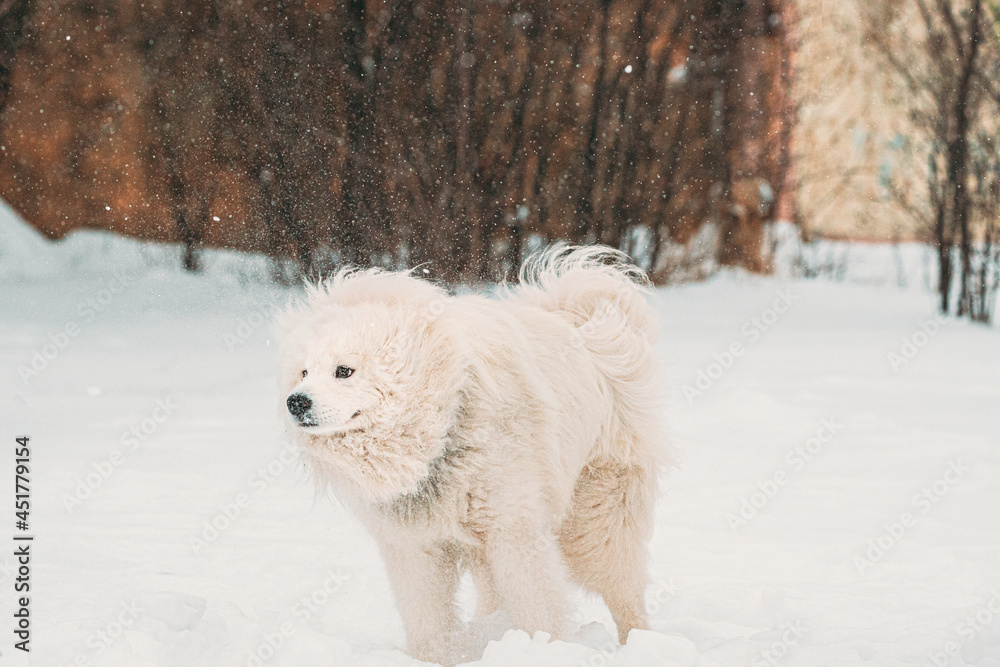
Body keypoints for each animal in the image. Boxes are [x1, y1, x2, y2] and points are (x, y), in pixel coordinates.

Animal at [278, 247, 664, 667]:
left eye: (344, 370)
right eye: (304, 372)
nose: (296, 402)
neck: (441, 428)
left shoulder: (514, 530)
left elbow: (537, 605)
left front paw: (542, 648)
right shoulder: (413, 546)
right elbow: (427, 619)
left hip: (596, 511)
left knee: (621, 583)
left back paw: (639, 643)